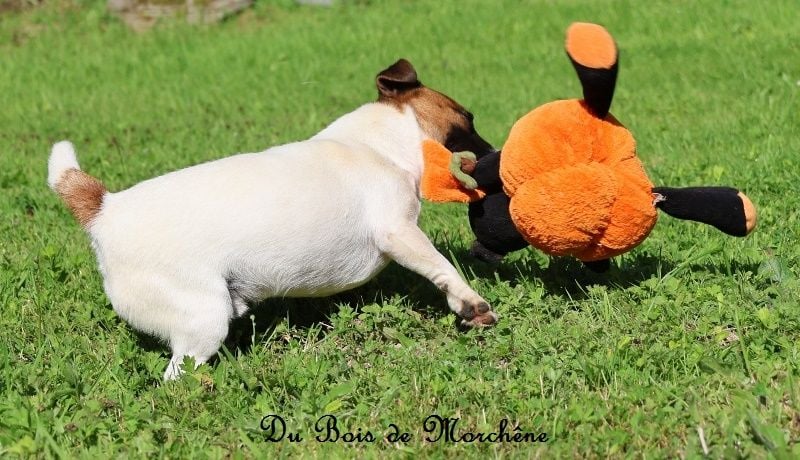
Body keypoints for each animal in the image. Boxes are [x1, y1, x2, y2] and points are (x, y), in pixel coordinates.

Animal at [47, 59, 499, 380]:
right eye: (468, 118)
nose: (495, 153)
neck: (380, 144)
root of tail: (106, 209)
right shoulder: (400, 232)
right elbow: (443, 267)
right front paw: (472, 305)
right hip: (203, 318)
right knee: (177, 374)